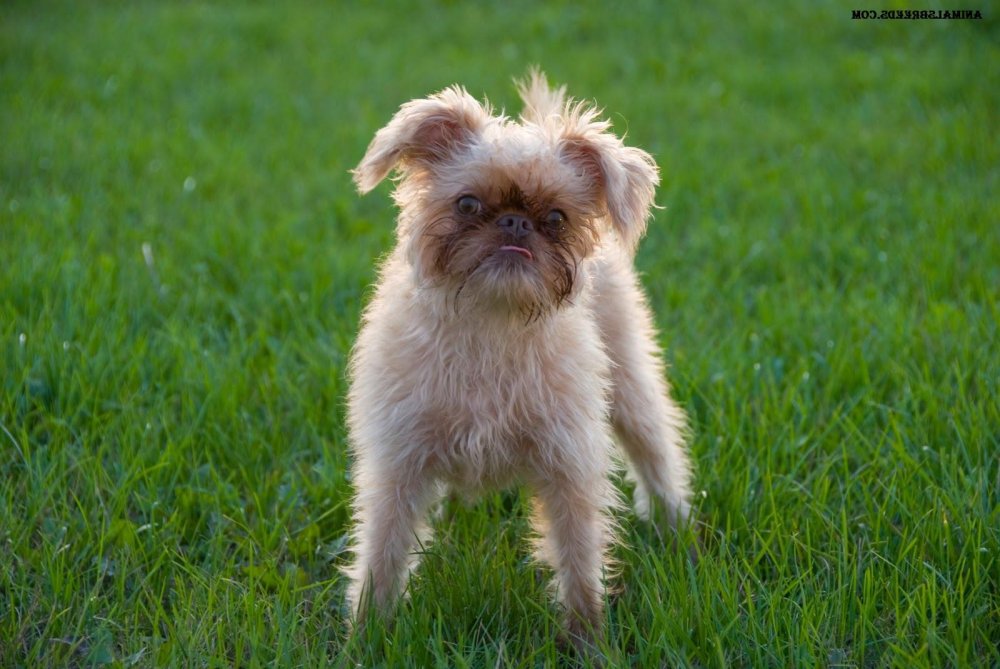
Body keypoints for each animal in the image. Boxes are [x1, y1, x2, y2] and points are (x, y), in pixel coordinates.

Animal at [344, 70, 696, 644]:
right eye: (467, 205)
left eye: (555, 217)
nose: (514, 223)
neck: (494, 322)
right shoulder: (398, 463)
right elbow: (383, 552)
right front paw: (366, 636)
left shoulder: (569, 465)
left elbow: (579, 559)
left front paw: (588, 640)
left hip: (630, 385)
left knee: (655, 451)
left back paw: (675, 526)